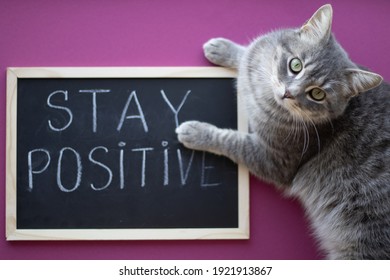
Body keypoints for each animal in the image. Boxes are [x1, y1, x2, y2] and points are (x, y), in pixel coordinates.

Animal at [176, 4, 390, 260]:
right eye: (295, 65)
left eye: (317, 94)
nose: (289, 92)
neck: (262, 96)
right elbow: (248, 55)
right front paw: (224, 49)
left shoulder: (275, 160)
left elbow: (230, 140)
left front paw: (196, 131)